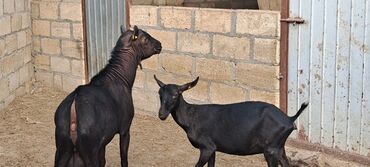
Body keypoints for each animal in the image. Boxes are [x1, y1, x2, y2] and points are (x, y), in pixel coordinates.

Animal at [53, 25, 162, 166]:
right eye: (145, 38)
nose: (159, 45)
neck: (122, 78)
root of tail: (73, 112)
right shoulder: (125, 128)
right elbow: (123, 158)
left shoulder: (103, 142)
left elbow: (103, 161)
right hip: (89, 152)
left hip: (61, 150)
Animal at [154, 75, 310, 167]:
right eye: (160, 93)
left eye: (176, 94)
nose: (161, 114)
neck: (191, 118)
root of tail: (290, 119)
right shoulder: (213, 148)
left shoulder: (206, 147)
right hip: (279, 148)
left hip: (271, 149)